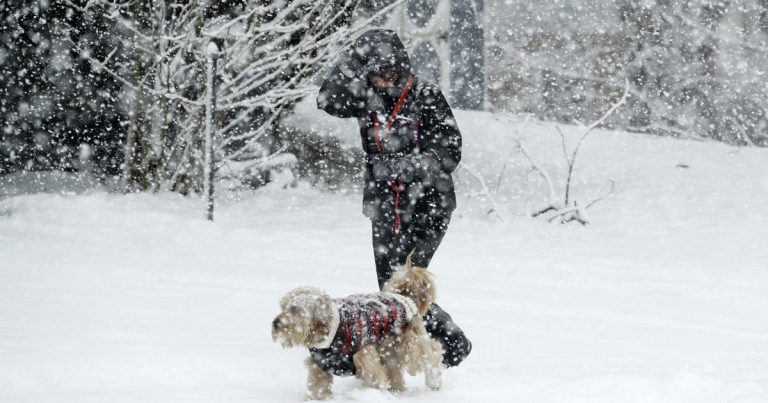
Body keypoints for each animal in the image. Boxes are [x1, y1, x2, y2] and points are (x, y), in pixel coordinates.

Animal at [272, 258, 444, 400]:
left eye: (294, 309)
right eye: (283, 306)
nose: (275, 323)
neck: (330, 332)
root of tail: (405, 297)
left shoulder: (366, 359)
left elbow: (375, 380)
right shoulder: (319, 365)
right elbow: (318, 387)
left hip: (409, 346)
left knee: (434, 352)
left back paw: (434, 382)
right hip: (388, 350)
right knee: (395, 372)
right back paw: (397, 391)